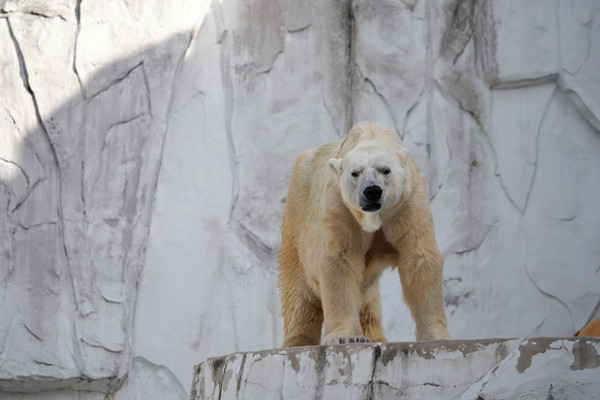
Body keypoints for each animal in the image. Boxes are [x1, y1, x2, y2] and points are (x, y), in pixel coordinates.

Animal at [278, 122, 450, 346]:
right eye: (355, 173)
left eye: (385, 170)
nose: (372, 191)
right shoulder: (340, 203)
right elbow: (340, 259)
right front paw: (346, 337)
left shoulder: (409, 200)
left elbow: (420, 257)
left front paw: (437, 336)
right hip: (297, 206)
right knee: (298, 285)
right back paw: (299, 340)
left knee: (368, 297)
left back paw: (376, 336)